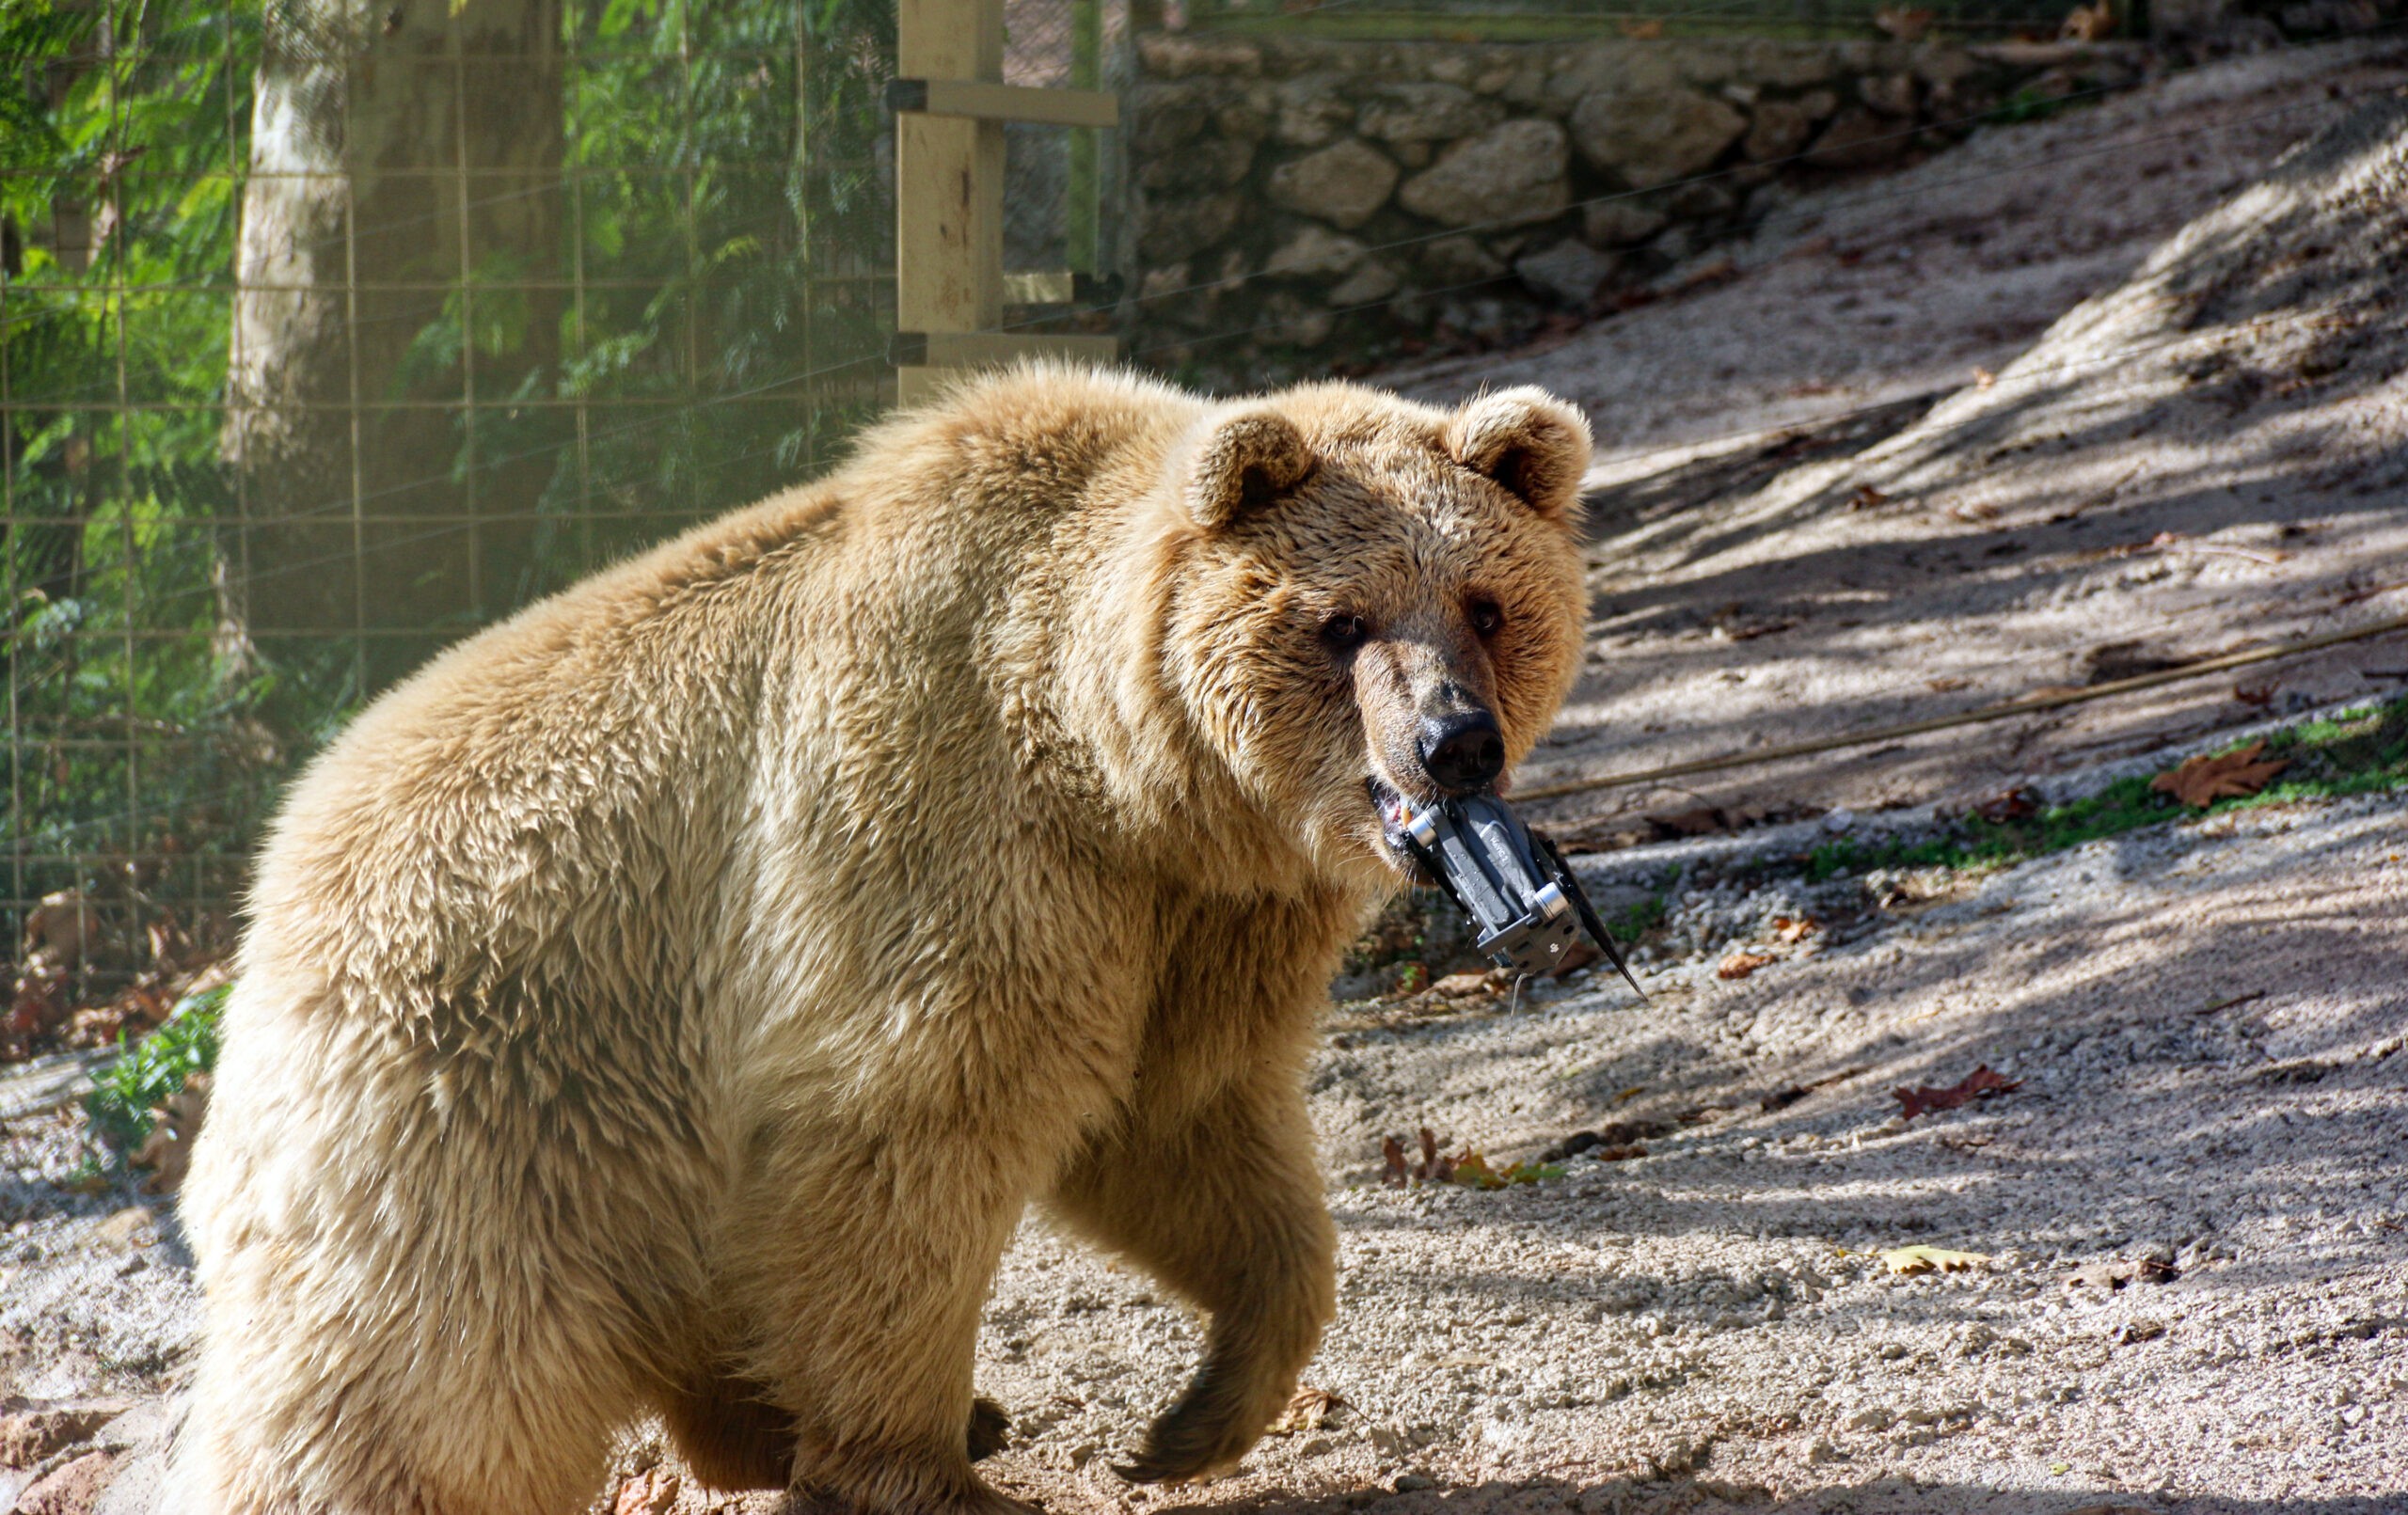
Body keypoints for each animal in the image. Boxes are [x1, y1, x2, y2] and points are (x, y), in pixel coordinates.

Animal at [178, 366, 1589, 1512]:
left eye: (1485, 602)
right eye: (1342, 619)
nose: (1455, 743)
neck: (1124, 767)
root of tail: (269, 884)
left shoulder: (1193, 919)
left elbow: (1187, 1126)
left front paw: (1191, 1420)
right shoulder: (947, 828)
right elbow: (909, 1130)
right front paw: (923, 1466)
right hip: (487, 1077)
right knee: (425, 1368)